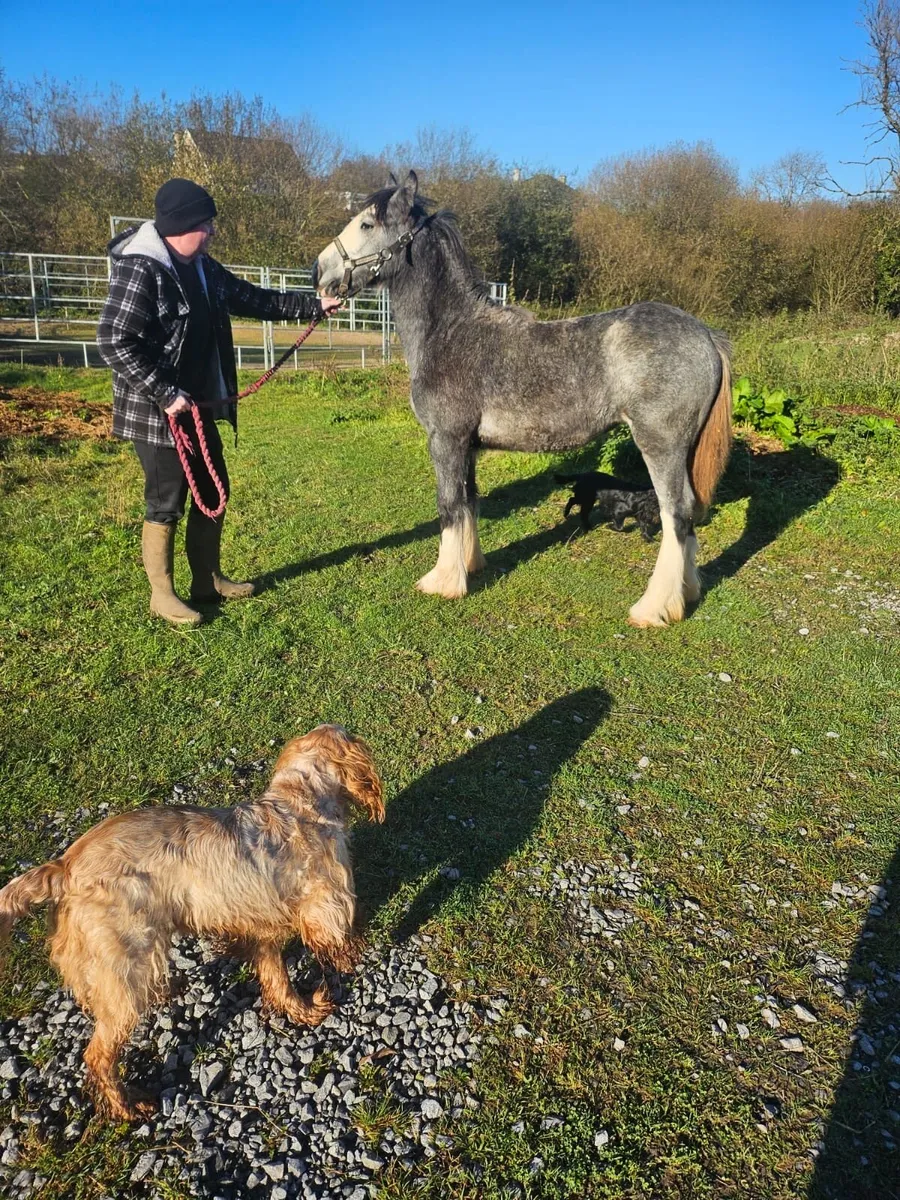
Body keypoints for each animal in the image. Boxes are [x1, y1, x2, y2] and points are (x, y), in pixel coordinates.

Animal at [312, 171, 732, 627]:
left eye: (367, 224)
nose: (319, 270)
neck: (450, 331)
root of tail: (706, 335)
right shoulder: (468, 446)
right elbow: (469, 501)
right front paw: (470, 565)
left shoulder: (445, 440)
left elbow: (448, 506)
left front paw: (443, 582)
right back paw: (686, 594)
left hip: (660, 444)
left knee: (676, 513)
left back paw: (653, 607)